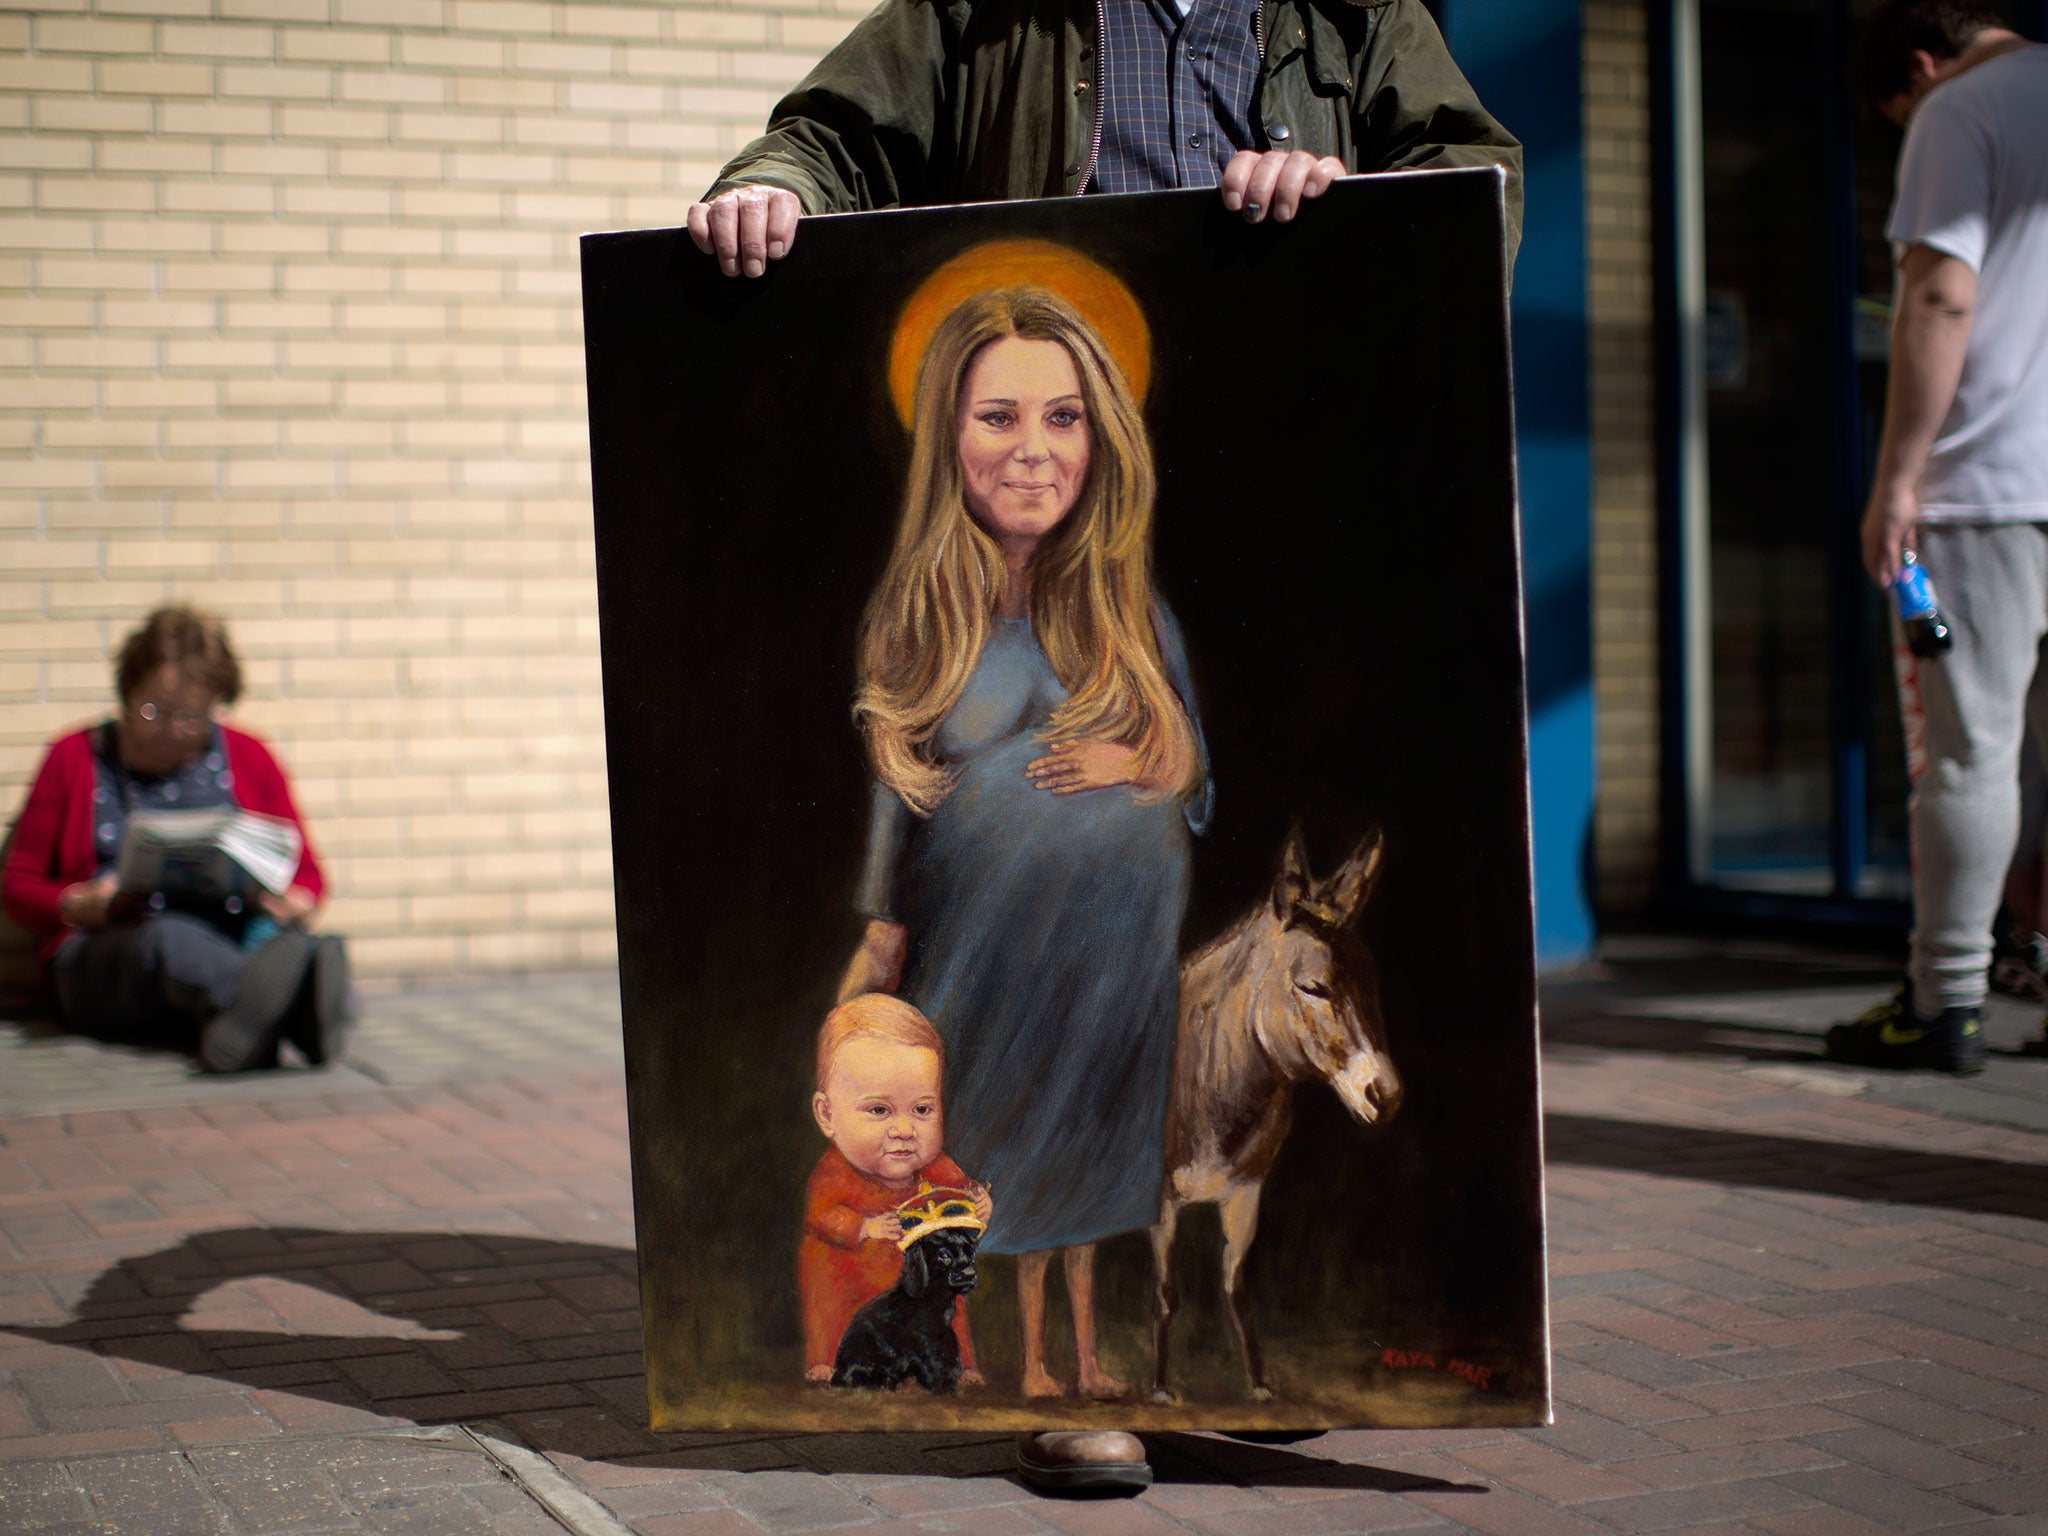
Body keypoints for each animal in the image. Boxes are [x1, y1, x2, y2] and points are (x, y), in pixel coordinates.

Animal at [835, 1228, 987, 1392]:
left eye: (970, 1253)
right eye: (944, 1255)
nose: (970, 1273)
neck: (932, 1298)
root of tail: (837, 1374)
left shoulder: (942, 1330)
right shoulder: (923, 1337)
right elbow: (935, 1359)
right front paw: (942, 1385)